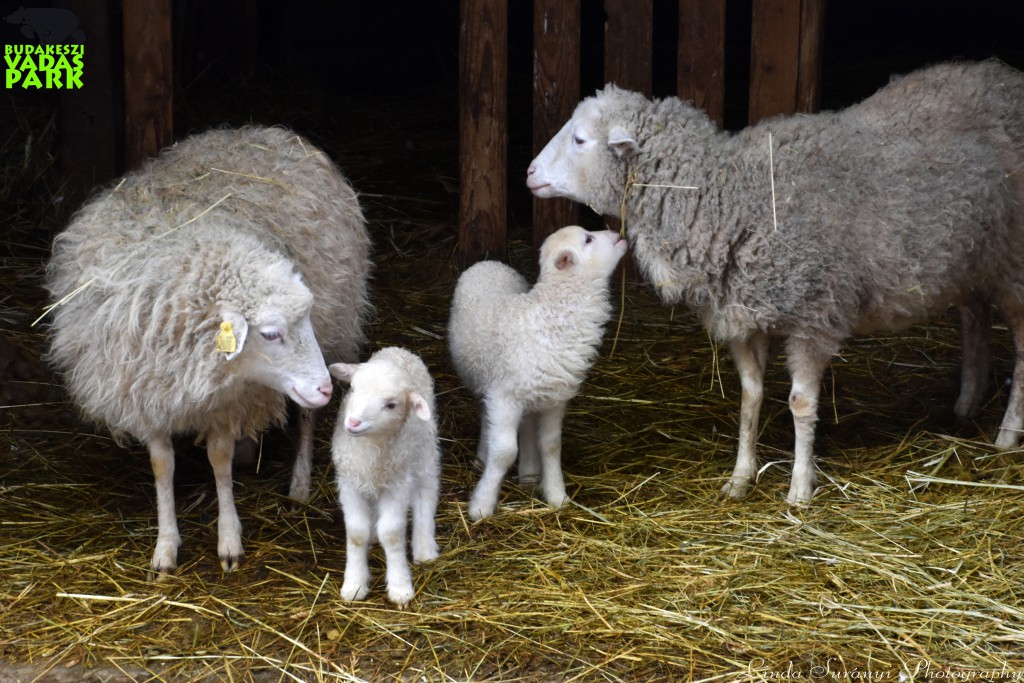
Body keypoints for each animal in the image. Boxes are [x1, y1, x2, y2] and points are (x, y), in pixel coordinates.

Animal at [46, 124, 372, 573]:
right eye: (271, 333)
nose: (324, 387)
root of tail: (270, 133)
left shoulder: (230, 402)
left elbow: (219, 459)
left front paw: (229, 540)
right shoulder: (144, 393)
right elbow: (162, 465)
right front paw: (165, 546)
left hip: (334, 327)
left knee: (306, 418)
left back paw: (299, 485)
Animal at [327, 348, 440, 610]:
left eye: (391, 405)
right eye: (353, 389)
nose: (353, 423)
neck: (371, 448)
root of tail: (398, 350)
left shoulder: (397, 484)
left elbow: (392, 533)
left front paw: (400, 587)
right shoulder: (349, 482)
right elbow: (356, 533)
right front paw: (354, 584)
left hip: (424, 454)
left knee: (426, 495)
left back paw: (424, 548)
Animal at [452, 224, 626, 518]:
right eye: (588, 239)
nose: (617, 234)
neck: (548, 313)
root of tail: (489, 262)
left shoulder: (556, 398)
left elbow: (551, 445)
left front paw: (557, 496)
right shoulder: (504, 397)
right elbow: (504, 452)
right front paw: (482, 505)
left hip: (536, 390)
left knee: (527, 425)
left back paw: (529, 474)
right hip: (482, 379)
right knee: (486, 417)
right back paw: (483, 458)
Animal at [528, 60, 1024, 507]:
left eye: (579, 139)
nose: (530, 173)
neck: (730, 195)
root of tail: (1006, 77)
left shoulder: (814, 317)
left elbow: (801, 404)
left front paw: (800, 491)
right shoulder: (743, 317)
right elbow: (751, 398)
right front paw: (739, 479)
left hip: (1012, 266)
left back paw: (1005, 435)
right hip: (970, 260)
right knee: (974, 318)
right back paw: (966, 404)